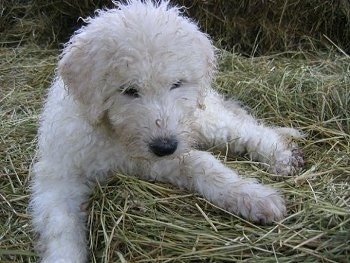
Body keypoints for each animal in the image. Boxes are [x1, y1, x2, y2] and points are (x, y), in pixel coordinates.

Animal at [30, 1, 304, 262]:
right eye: (129, 90)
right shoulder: (60, 175)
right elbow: (60, 226)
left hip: (200, 118)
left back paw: (282, 156)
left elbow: (204, 164)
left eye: (176, 84)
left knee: (244, 130)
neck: (115, 137)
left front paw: (255, 197)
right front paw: (63, 255)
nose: (165, 147)